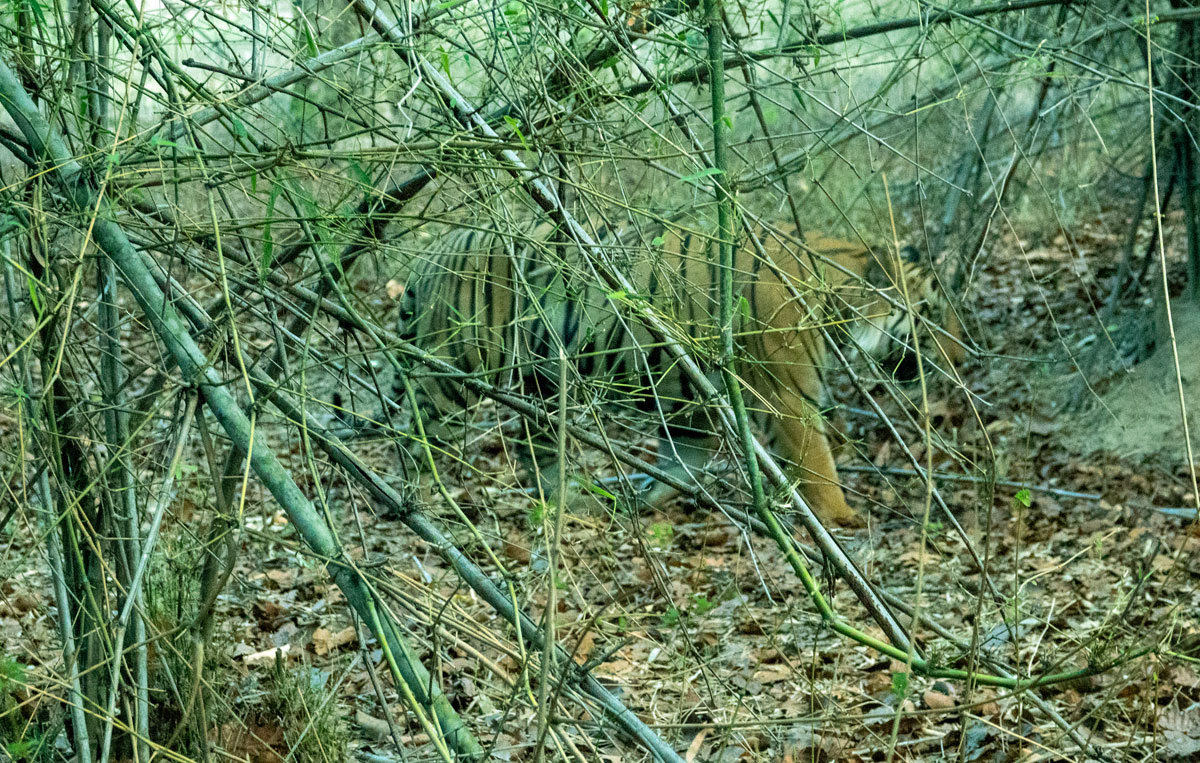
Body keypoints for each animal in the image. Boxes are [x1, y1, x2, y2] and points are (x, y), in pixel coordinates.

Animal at [392, 217, 966, 526]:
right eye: (931, 315)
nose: (962, 361)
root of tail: (430, 250)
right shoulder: (788, 396)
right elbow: (819, 466)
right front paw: (843, 519)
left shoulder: (696, 404)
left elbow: (680, 463)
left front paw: (645, 500)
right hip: (454, 371)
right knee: (413, 434)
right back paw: (420, 503)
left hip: (543, 382)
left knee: (538, 451)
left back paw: (571, 502)